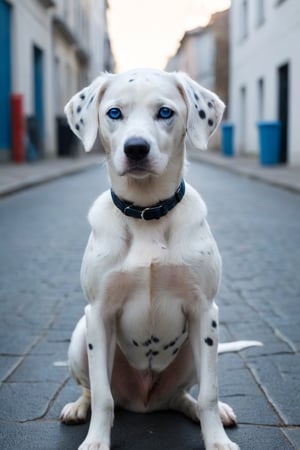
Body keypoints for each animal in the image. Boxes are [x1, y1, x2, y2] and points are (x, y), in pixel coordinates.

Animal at [60, 67, 260, 450]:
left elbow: (210, 392)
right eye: (114, 113)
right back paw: (78, 407)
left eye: (165, 112)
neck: (147, 213)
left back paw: (207, 411)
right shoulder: (99, 313)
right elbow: (104, 397)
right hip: (81, 336)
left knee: (184, 397)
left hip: (196, 353)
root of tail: (144, 402)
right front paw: (96, 440)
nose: (136, 148)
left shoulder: (204, 311)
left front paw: (216, 440)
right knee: (95, 390)